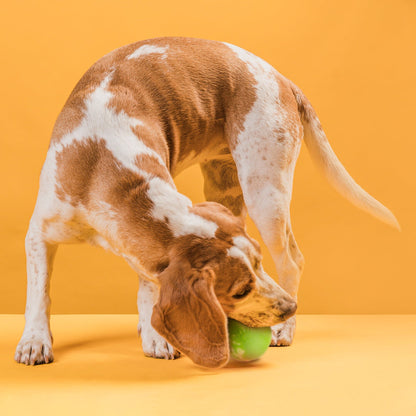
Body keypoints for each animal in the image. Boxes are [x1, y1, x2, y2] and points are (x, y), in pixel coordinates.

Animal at [13, 35, 400, 368]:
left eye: (259, 264)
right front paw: (35, 340)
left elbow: (148, 288)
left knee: (293, 260)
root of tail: (281, 78)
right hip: (226, 190)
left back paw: (283, 331)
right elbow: (39, 293)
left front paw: (155, 335)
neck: (104, 165)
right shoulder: (39, 236)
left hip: (265, 194)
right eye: (241, 289)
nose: (289, 308)